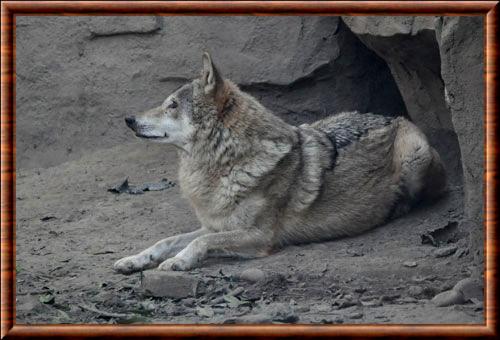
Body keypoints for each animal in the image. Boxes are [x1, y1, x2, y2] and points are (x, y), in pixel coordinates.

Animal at [115, 51, 448, 274]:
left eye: (172, 105)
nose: (129, 119)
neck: (225, 165)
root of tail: (393, 116)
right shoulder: (213, 224)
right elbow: (166, 240)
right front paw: (134, 260)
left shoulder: (258, 235)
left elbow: (200, 243)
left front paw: (180, 261)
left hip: (414, 154)